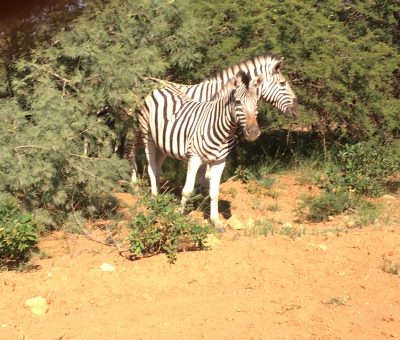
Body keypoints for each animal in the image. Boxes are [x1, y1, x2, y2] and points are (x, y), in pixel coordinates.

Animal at [126, 53, 298, 186]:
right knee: (131, 152)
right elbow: (203, 173)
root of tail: (141, 79)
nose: (297, 110)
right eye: (283, 83)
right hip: (135, 129)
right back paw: (134, 186)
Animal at [136, 71, 264, 226]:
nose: (254, 133)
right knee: (151, 167)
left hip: (162, 144)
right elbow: (187, 190)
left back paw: (160, 195)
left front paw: (215, 221)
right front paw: (179, 216)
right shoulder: (194, 158)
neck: (223, 131)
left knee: (157, 166)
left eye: (256, 102)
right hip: (147, 135)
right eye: (238, 102)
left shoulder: (219, 162)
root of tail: (159, 88)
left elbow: (214, 192)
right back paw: (154, 198)